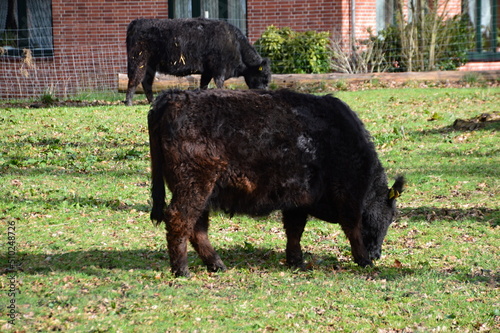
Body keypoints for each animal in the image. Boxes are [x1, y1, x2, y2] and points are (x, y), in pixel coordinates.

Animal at [127, 17, 272, 105]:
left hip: (150, 65)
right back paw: (128, 103)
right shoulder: (219, 69)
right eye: (264, 76)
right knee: (134, 81)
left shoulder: (207, 71)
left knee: (147, 83)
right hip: (139, 61)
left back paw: (152, 102)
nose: (265, 92)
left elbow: (204, 85)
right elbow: (219, 83)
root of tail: (138, 21)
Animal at [146, 87, 404, 274]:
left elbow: (294, 230)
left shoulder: (298, 200)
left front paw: (296, 261)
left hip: (201, 190)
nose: (377, 255)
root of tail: (175, 95)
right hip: (194, 184)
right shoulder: (347, 196)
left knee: (197, 227)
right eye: (390, 216)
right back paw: (181, 270)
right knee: (179, 219)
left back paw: (216, 265)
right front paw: (363, 260)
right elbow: (353, 228)